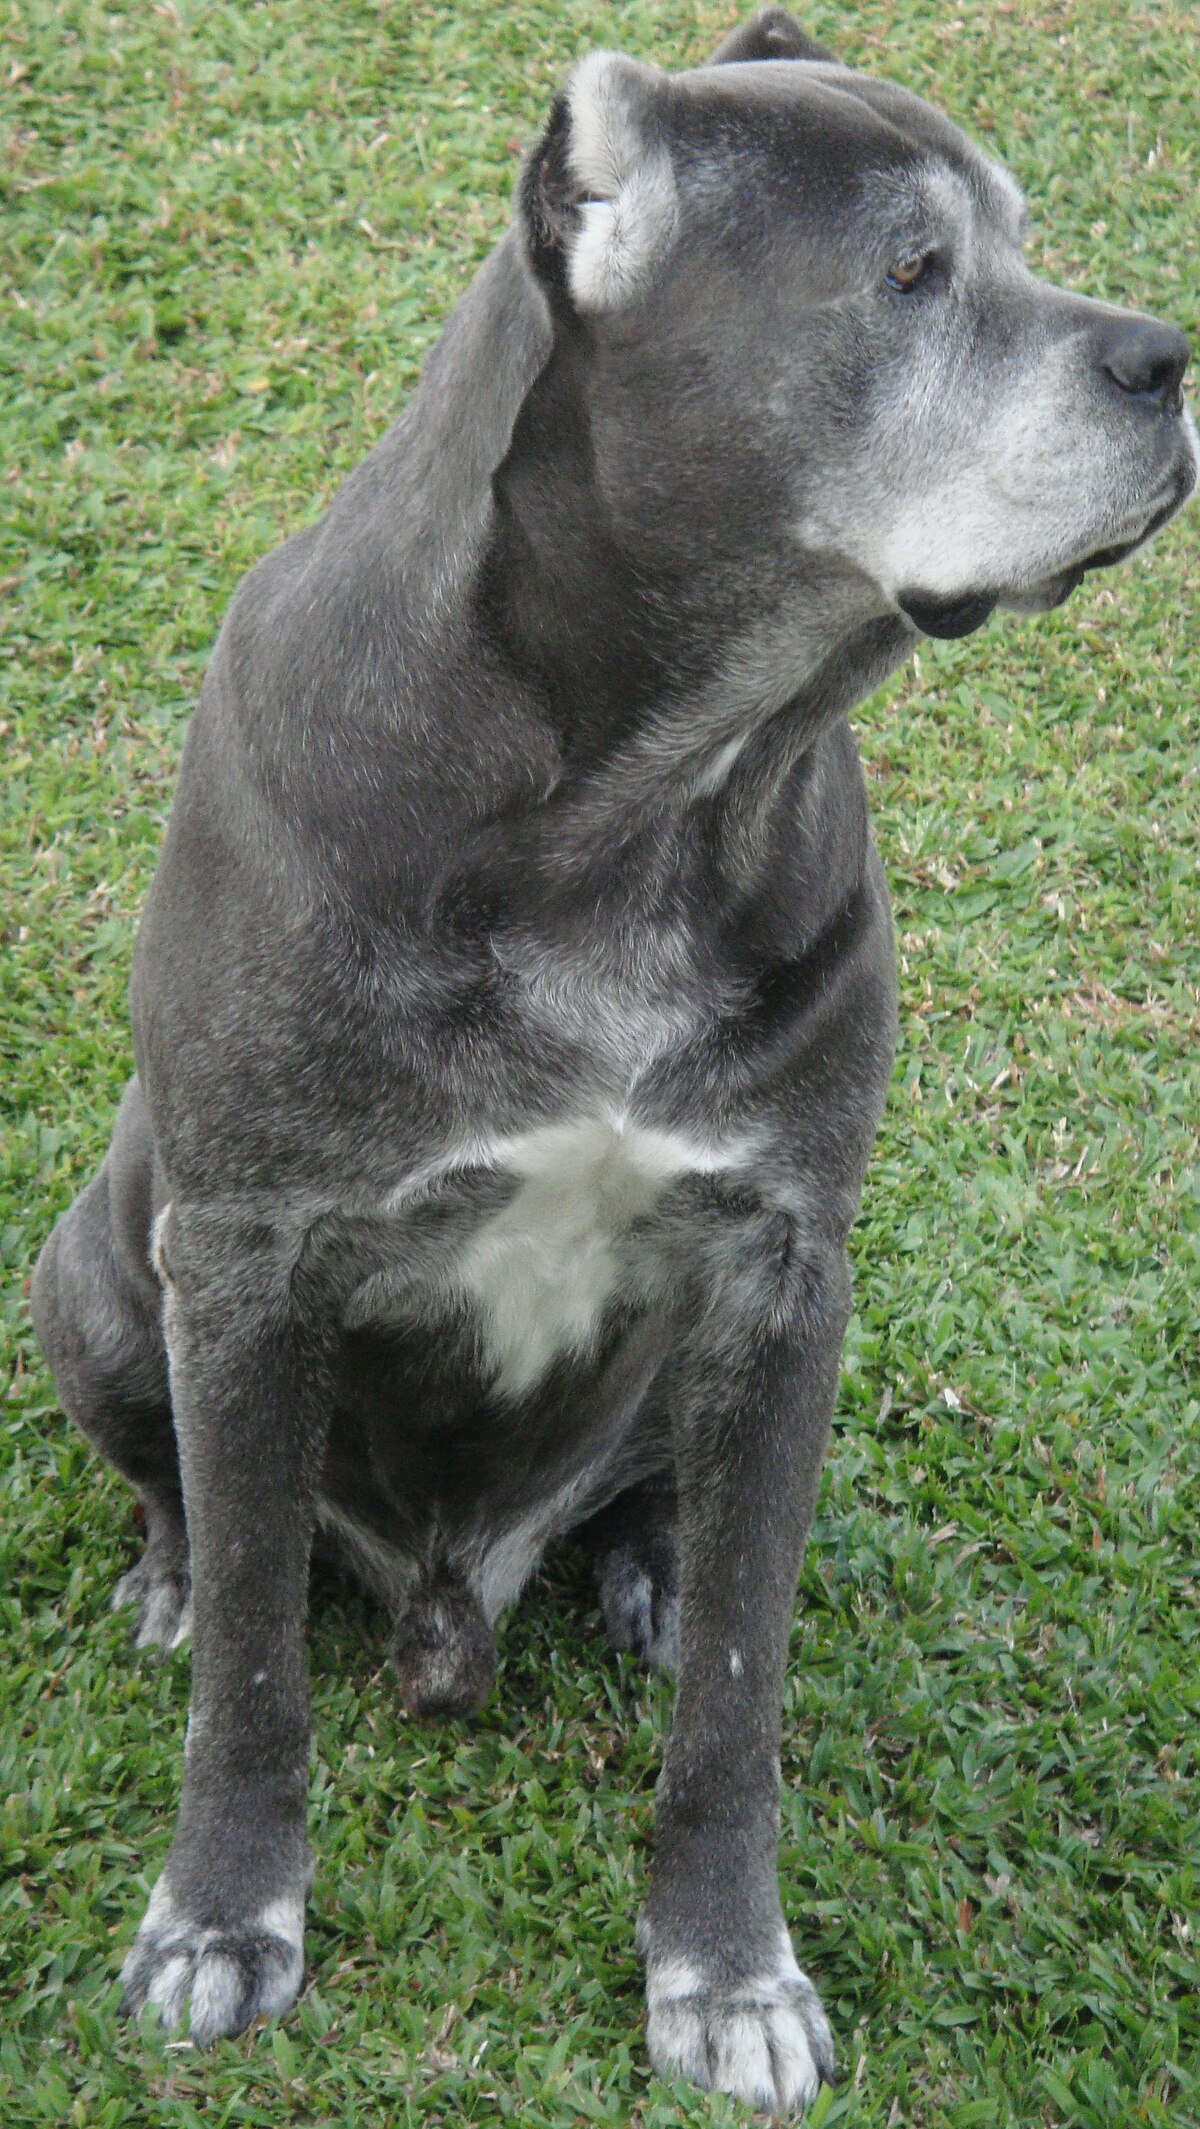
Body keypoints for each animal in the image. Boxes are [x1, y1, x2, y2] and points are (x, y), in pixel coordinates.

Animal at [28, 12, 1191, 2111]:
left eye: (1022, 241)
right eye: (912, 271)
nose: (1169, 357)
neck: (640, 795)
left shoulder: (782, 1266)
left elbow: (739, 1687)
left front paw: (723, 1966)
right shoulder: (241, 1256)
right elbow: (255, 1669)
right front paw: (222, 1918)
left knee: (664, 1505)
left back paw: (639, 1560)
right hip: (95, 1258)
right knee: (198, 1505)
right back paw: (169, 1569)